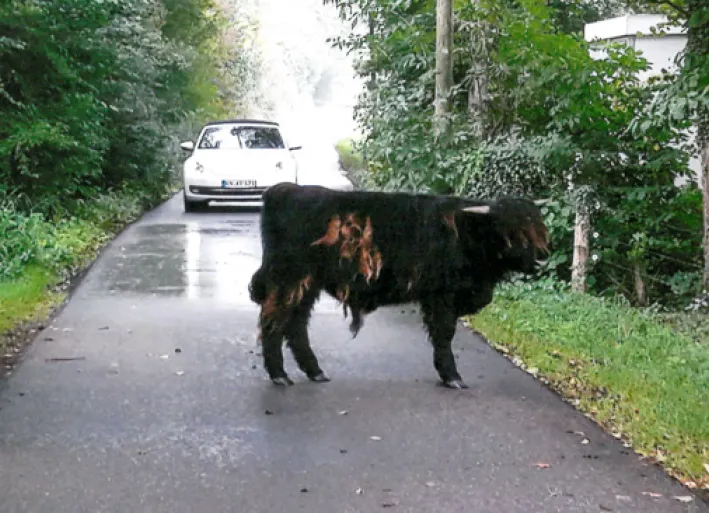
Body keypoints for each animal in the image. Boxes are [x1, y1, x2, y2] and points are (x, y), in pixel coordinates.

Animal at [248, 182, 549, 389]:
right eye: (510, 231)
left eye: (539, 227)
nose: (542, 259)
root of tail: (285, 189)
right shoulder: (442, 296)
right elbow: (444, 334)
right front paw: (452, 376)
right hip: (289, 279)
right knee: (273, 322)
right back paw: (280, 375)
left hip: (307, 284)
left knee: (296, 324)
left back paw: (315, 371)